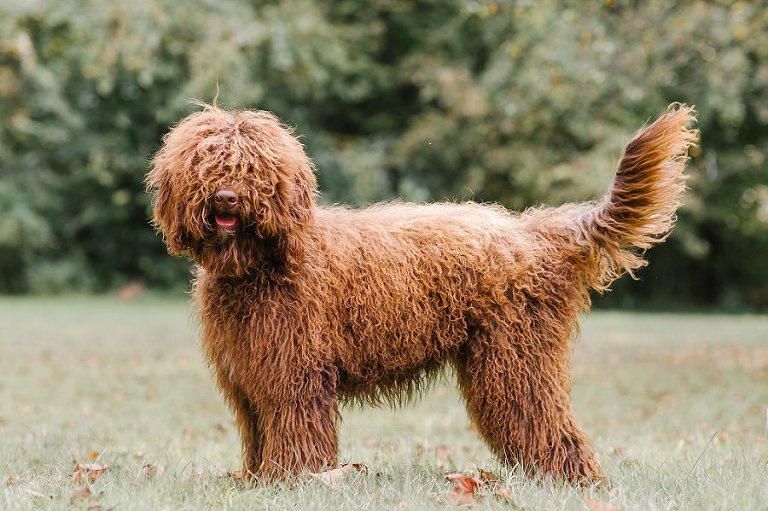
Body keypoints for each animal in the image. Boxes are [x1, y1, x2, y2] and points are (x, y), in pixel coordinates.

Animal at [147, 102, 700, 482]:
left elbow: (295, 431)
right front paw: (258, 482)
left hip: (514, 361)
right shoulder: (251, 379)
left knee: (547, 422)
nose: (226, 198)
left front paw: (294, 482)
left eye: (253, 168)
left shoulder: (295, 378)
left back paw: (572, 483)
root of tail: (534, 234)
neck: (260, 266)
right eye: (206, 165)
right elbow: (259, 434)